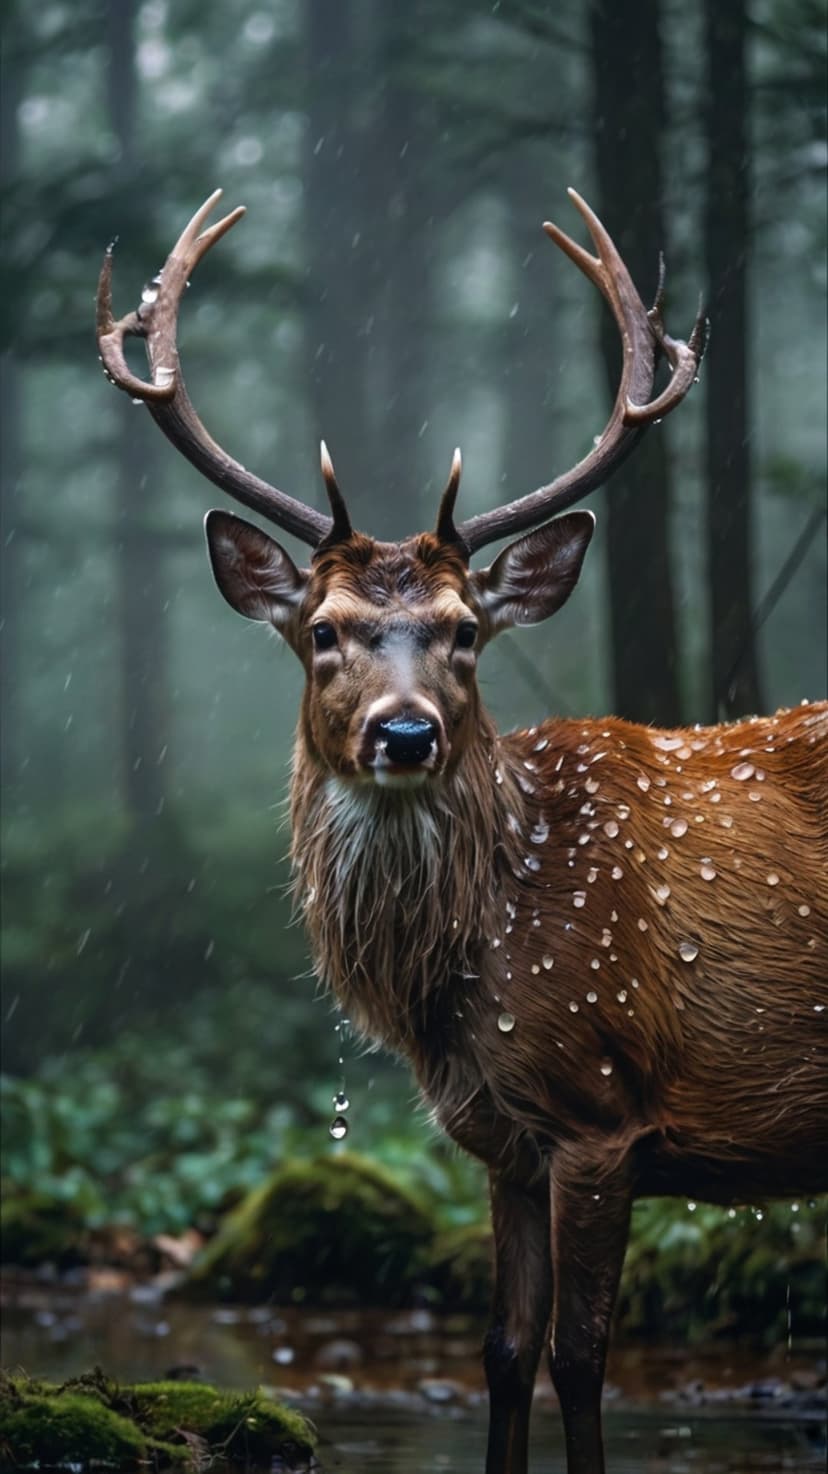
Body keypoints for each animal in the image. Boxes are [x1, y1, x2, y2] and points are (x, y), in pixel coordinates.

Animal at [97, 189, 827, 1474]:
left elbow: (580, 1359)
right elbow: (501, 1353)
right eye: (324, 630)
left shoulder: (601, 1107)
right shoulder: (504, 1142)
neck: (467, 977)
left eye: (466, 630)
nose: (404, 731)